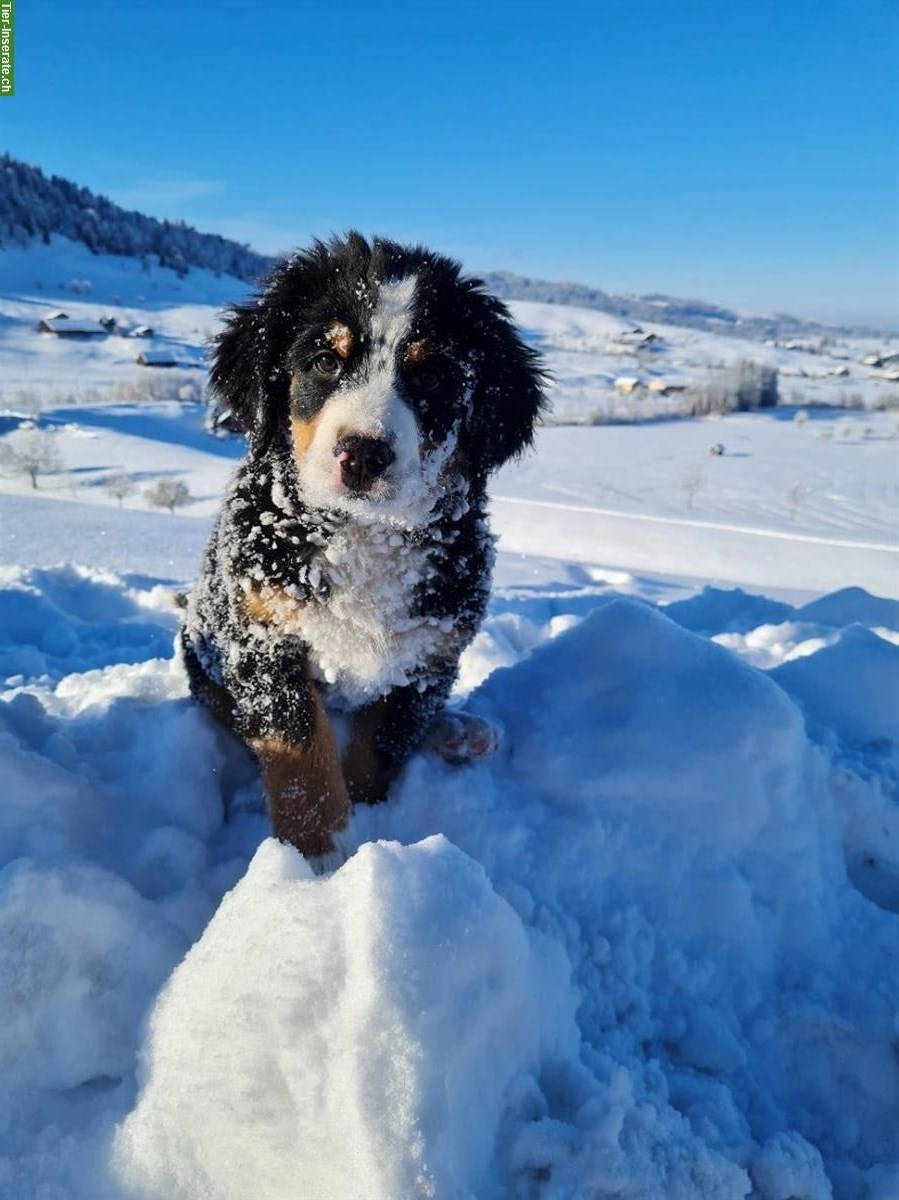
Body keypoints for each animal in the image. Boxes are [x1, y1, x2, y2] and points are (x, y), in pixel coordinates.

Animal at [181, 231, 542, 854]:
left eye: (432, 378)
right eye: (326, 361)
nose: (363, 454)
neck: (364, 535)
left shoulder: (428, 653)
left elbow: (379, 749)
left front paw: (365, 829)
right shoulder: (261, 636)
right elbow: (300, 758)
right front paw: (314, 862)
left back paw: (460, 733)